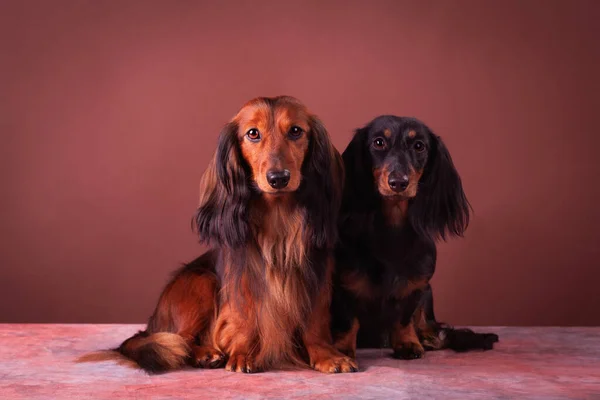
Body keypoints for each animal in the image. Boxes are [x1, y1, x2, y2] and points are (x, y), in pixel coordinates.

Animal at [110, 97, 358, 376]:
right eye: (253, 133)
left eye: (296, 131)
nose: (278, 178)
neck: (279, 218)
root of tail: (151, 324)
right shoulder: (242, 282)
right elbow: (244, 318)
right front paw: (242, 353)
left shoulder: (317, 277)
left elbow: (315, 321)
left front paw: (326, 355)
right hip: (201, 282)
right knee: (181, 340)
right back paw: (205, 354)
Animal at [328, 115, 496, 360]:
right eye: (378, 142)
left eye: (419, 146)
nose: (399, 182)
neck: (392, 228)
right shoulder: (344, 286)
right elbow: (349, 320)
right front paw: (342, 349)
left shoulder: (417, 285)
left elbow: (405, 317)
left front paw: (408, 343)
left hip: (428, 293)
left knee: (429, 326)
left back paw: (429, 339)